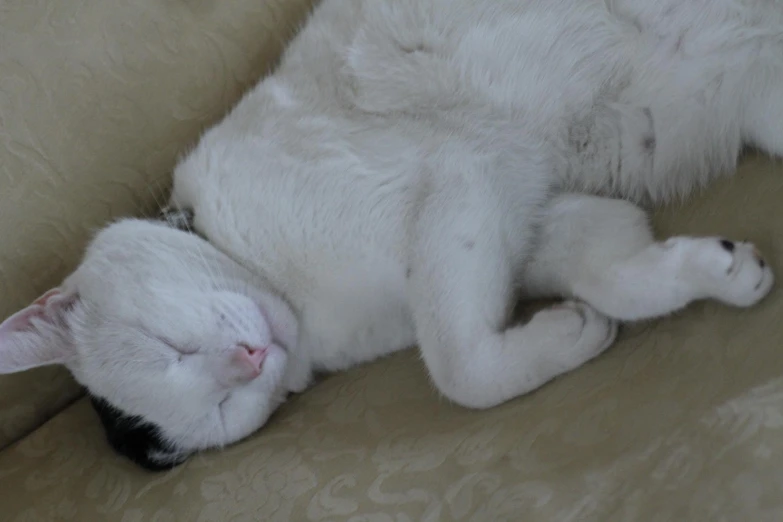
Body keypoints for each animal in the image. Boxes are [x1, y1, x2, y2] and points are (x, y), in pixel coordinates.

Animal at [1, 0, 783, 470]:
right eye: (222, 410)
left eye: (170, 346)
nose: (250, 361)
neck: (308, 316)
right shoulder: (528, 213)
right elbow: (609, 271)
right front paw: (704, 273)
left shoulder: (462, 176)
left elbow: (458, 368)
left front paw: (569, 333)